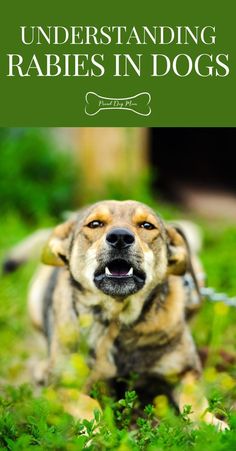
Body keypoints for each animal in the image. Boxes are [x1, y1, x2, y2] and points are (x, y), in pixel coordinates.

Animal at [3, 202, 229, 430]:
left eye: (147, 225)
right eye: (95, 224)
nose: (120, 237)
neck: (118, 319)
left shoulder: (186, 371)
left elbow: (195, 401)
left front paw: (213, 426)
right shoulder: (62, 384)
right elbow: (88, 403)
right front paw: (99, 432)